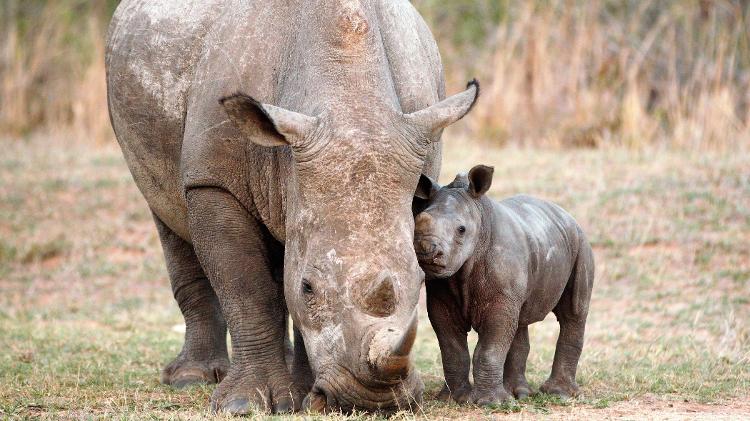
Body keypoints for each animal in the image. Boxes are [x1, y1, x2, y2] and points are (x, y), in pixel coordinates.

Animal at [414, 163, 596, 404]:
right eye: (417, 220)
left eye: (461, 230)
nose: (426, 250)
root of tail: (567, 215)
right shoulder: (441, 298)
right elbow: (452, 349)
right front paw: (455, 399)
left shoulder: (500, 297)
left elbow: (489, 348)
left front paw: (492, 403)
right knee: (519, 319)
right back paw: (520, 394)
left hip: (581, 244)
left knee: (573, 313)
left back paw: (559, 394)